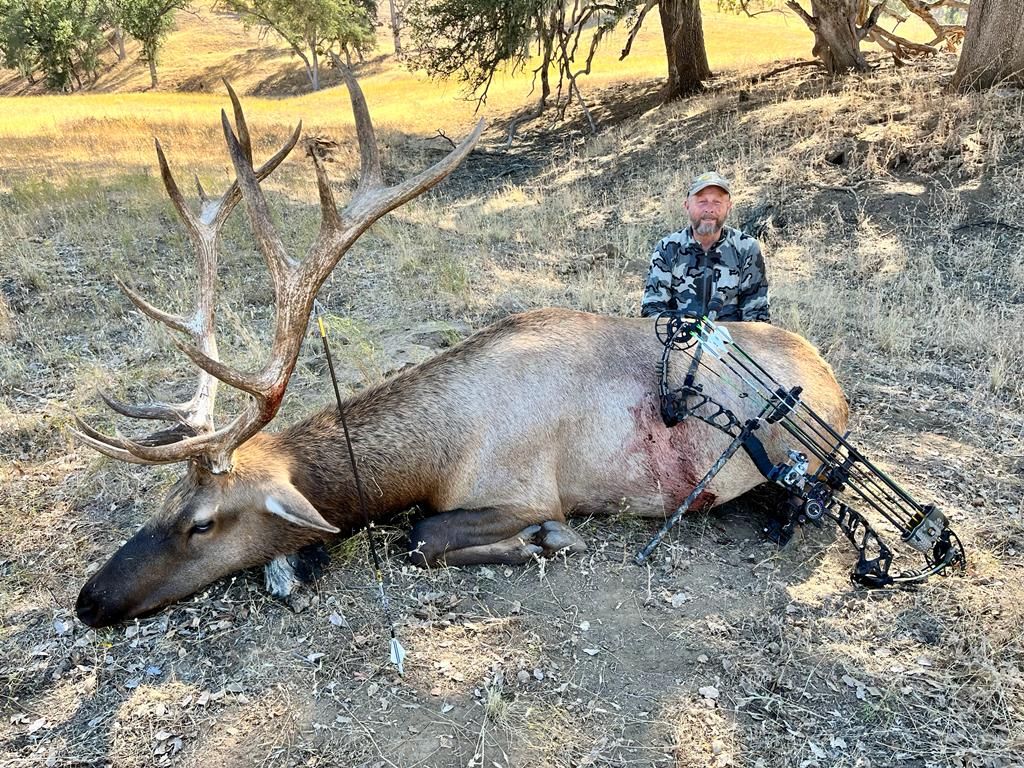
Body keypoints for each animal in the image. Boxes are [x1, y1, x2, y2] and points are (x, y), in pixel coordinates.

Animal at [72, 74, 849, 629]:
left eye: (201, 523)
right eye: (163, 498)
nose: (89, 600)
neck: (437, 452)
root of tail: (834, 382)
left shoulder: (527, 488)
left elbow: (420, 535)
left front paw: (542, 542)